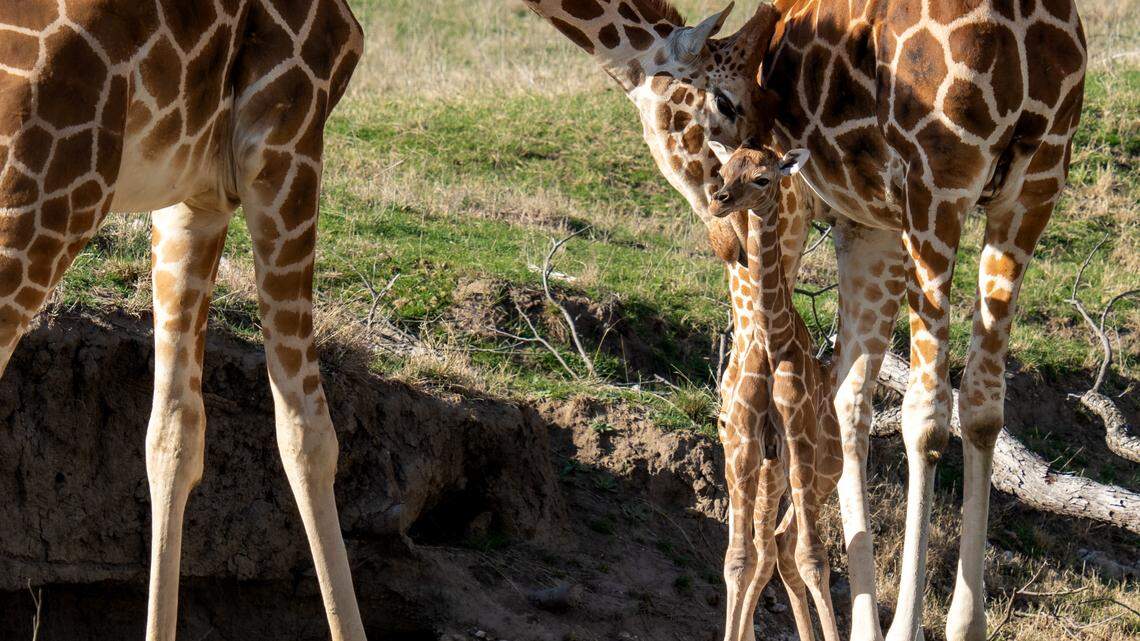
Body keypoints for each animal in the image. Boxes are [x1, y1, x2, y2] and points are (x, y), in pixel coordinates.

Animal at [707, 139, 844, 641]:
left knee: (789, 548)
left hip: (824, 471)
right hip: (770, 469)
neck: (770, 338)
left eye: (763, 178)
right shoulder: (746, 442)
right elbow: (737, 558)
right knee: (771, 548)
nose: (720, 199)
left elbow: (815, 557)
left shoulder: (799, 441)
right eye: (724, 169)